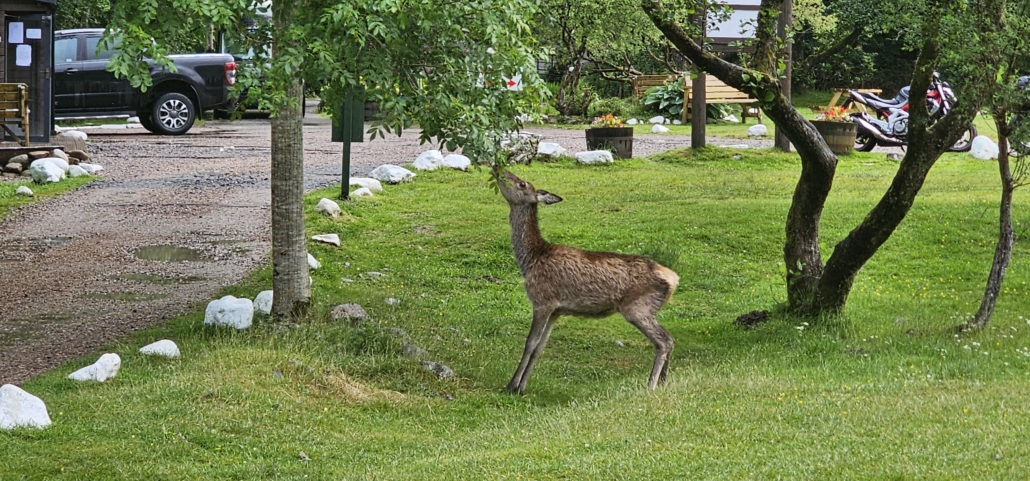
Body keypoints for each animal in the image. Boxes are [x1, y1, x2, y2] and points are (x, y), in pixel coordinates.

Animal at [495, 170, 680, 394]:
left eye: (522, 183)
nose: (500, 170)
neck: (530, 260)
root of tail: (674, 279)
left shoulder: (543, 300)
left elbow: (530, 343)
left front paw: (511, 386)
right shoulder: (557, 310)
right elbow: (540, 347)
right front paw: (522, 387)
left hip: (638, 308)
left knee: (664, 341)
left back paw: (651, 385)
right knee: (670, 339)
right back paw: (663, 383)